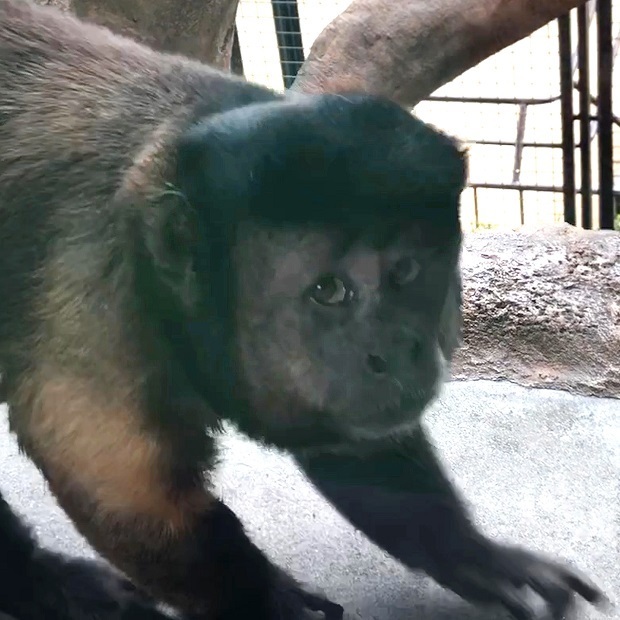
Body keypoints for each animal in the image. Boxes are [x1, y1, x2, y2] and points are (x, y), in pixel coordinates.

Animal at [0, 1, 604, 620]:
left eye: (405, 272)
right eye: (329, 290)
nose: (397, 352)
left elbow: (352, 439)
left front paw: (472, 556)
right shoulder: (97, 306)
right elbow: (127, 499)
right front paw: (270, 602)